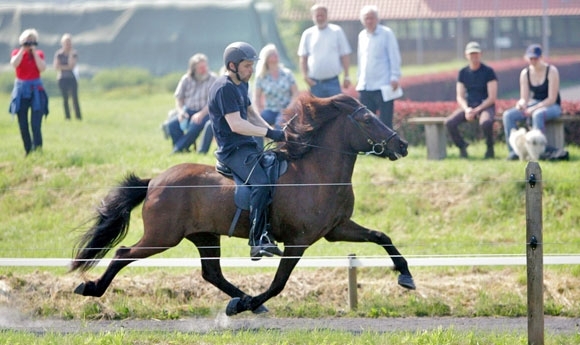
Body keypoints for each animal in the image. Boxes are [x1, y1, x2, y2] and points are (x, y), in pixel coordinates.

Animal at [71, 92, 412, 316]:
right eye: (367, 119)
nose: (403, 144)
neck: (317, 173)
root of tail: (154, 181)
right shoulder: (298, 241)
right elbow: (279, 282)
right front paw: (251, 303)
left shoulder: (337, 229)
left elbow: (382, 237)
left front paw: (405, 276)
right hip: (162, 236)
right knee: (123, 254)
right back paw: (91, 288)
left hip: (205, 236)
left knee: (212, 274)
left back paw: (241, 299)